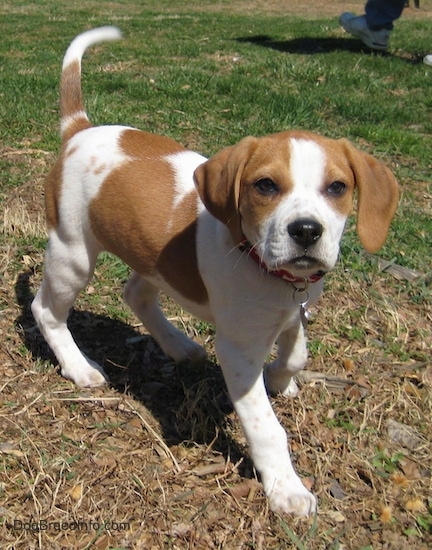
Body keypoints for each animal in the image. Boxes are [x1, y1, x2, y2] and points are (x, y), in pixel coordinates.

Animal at [32, 25, 400, 516]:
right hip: (72, 253)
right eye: (266, 186)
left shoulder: (296, 307)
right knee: (47, 310)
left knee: (137, 294)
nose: (306, 230)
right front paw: (285, 487)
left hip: (150, 257)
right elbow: (266, 426)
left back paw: (178, 346)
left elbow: (297, 352)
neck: (268, 271)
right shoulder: (238, 349)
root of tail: (81, 129)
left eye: (337, 187)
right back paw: (78, 366)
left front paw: (282, 378)